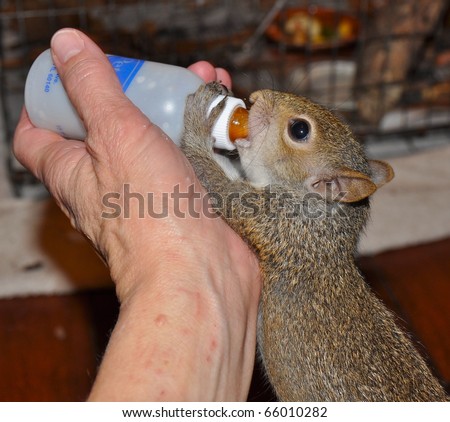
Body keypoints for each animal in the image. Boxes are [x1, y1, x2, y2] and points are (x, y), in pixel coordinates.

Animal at [179, 82, 446, 402]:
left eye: (300, 130)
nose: (256, 96)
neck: (326, 220)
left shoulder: (278, 221)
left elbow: (220, 187)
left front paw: (199, 121)